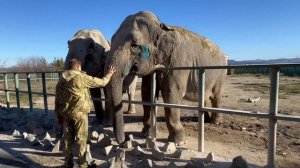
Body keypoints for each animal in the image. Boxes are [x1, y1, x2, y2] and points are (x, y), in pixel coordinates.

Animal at [105, 10, 227, 146]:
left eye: (135, 46)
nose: (126, 139)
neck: (162, 26)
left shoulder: (178, 62)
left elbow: (171, 93)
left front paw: (178, 141)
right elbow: (146, 93)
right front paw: (145, 134)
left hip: (221, 73)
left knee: (216, 96)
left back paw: (216, 122)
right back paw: (206, 120)